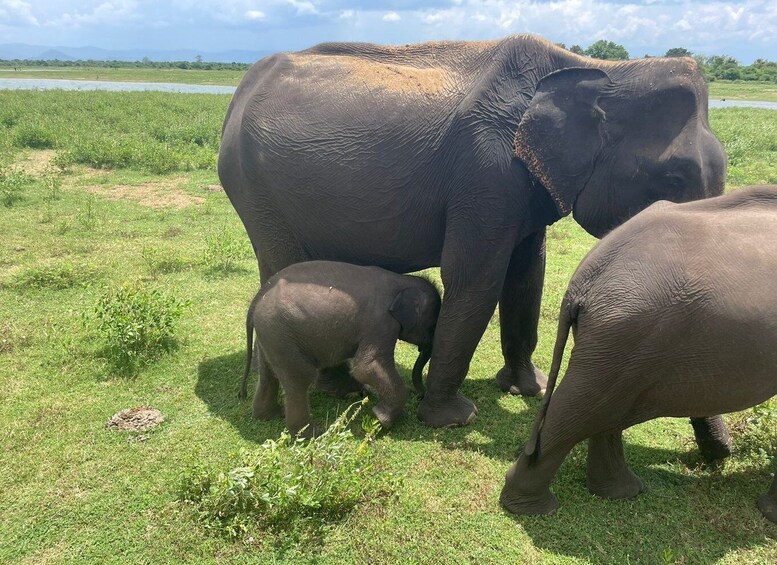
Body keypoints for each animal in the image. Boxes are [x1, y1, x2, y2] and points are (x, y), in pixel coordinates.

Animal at [238, 260, 442, 436]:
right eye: (432, 326)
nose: (420, 396)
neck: (402, 280)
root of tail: (257, 300)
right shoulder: (380, 323)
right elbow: (365, 367)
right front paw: (382, 420)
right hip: (281, 334)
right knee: (300, 378)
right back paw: (312, 434)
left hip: (270, 337)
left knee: (268, 375)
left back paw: (271, 415)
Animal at [500, 187, 776, 524]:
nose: (724, 455)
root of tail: (585, 277)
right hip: (630, 329)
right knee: (583, 409)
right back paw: (534, 509)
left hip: (622, 339)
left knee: (605, 410)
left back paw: (621, 493)